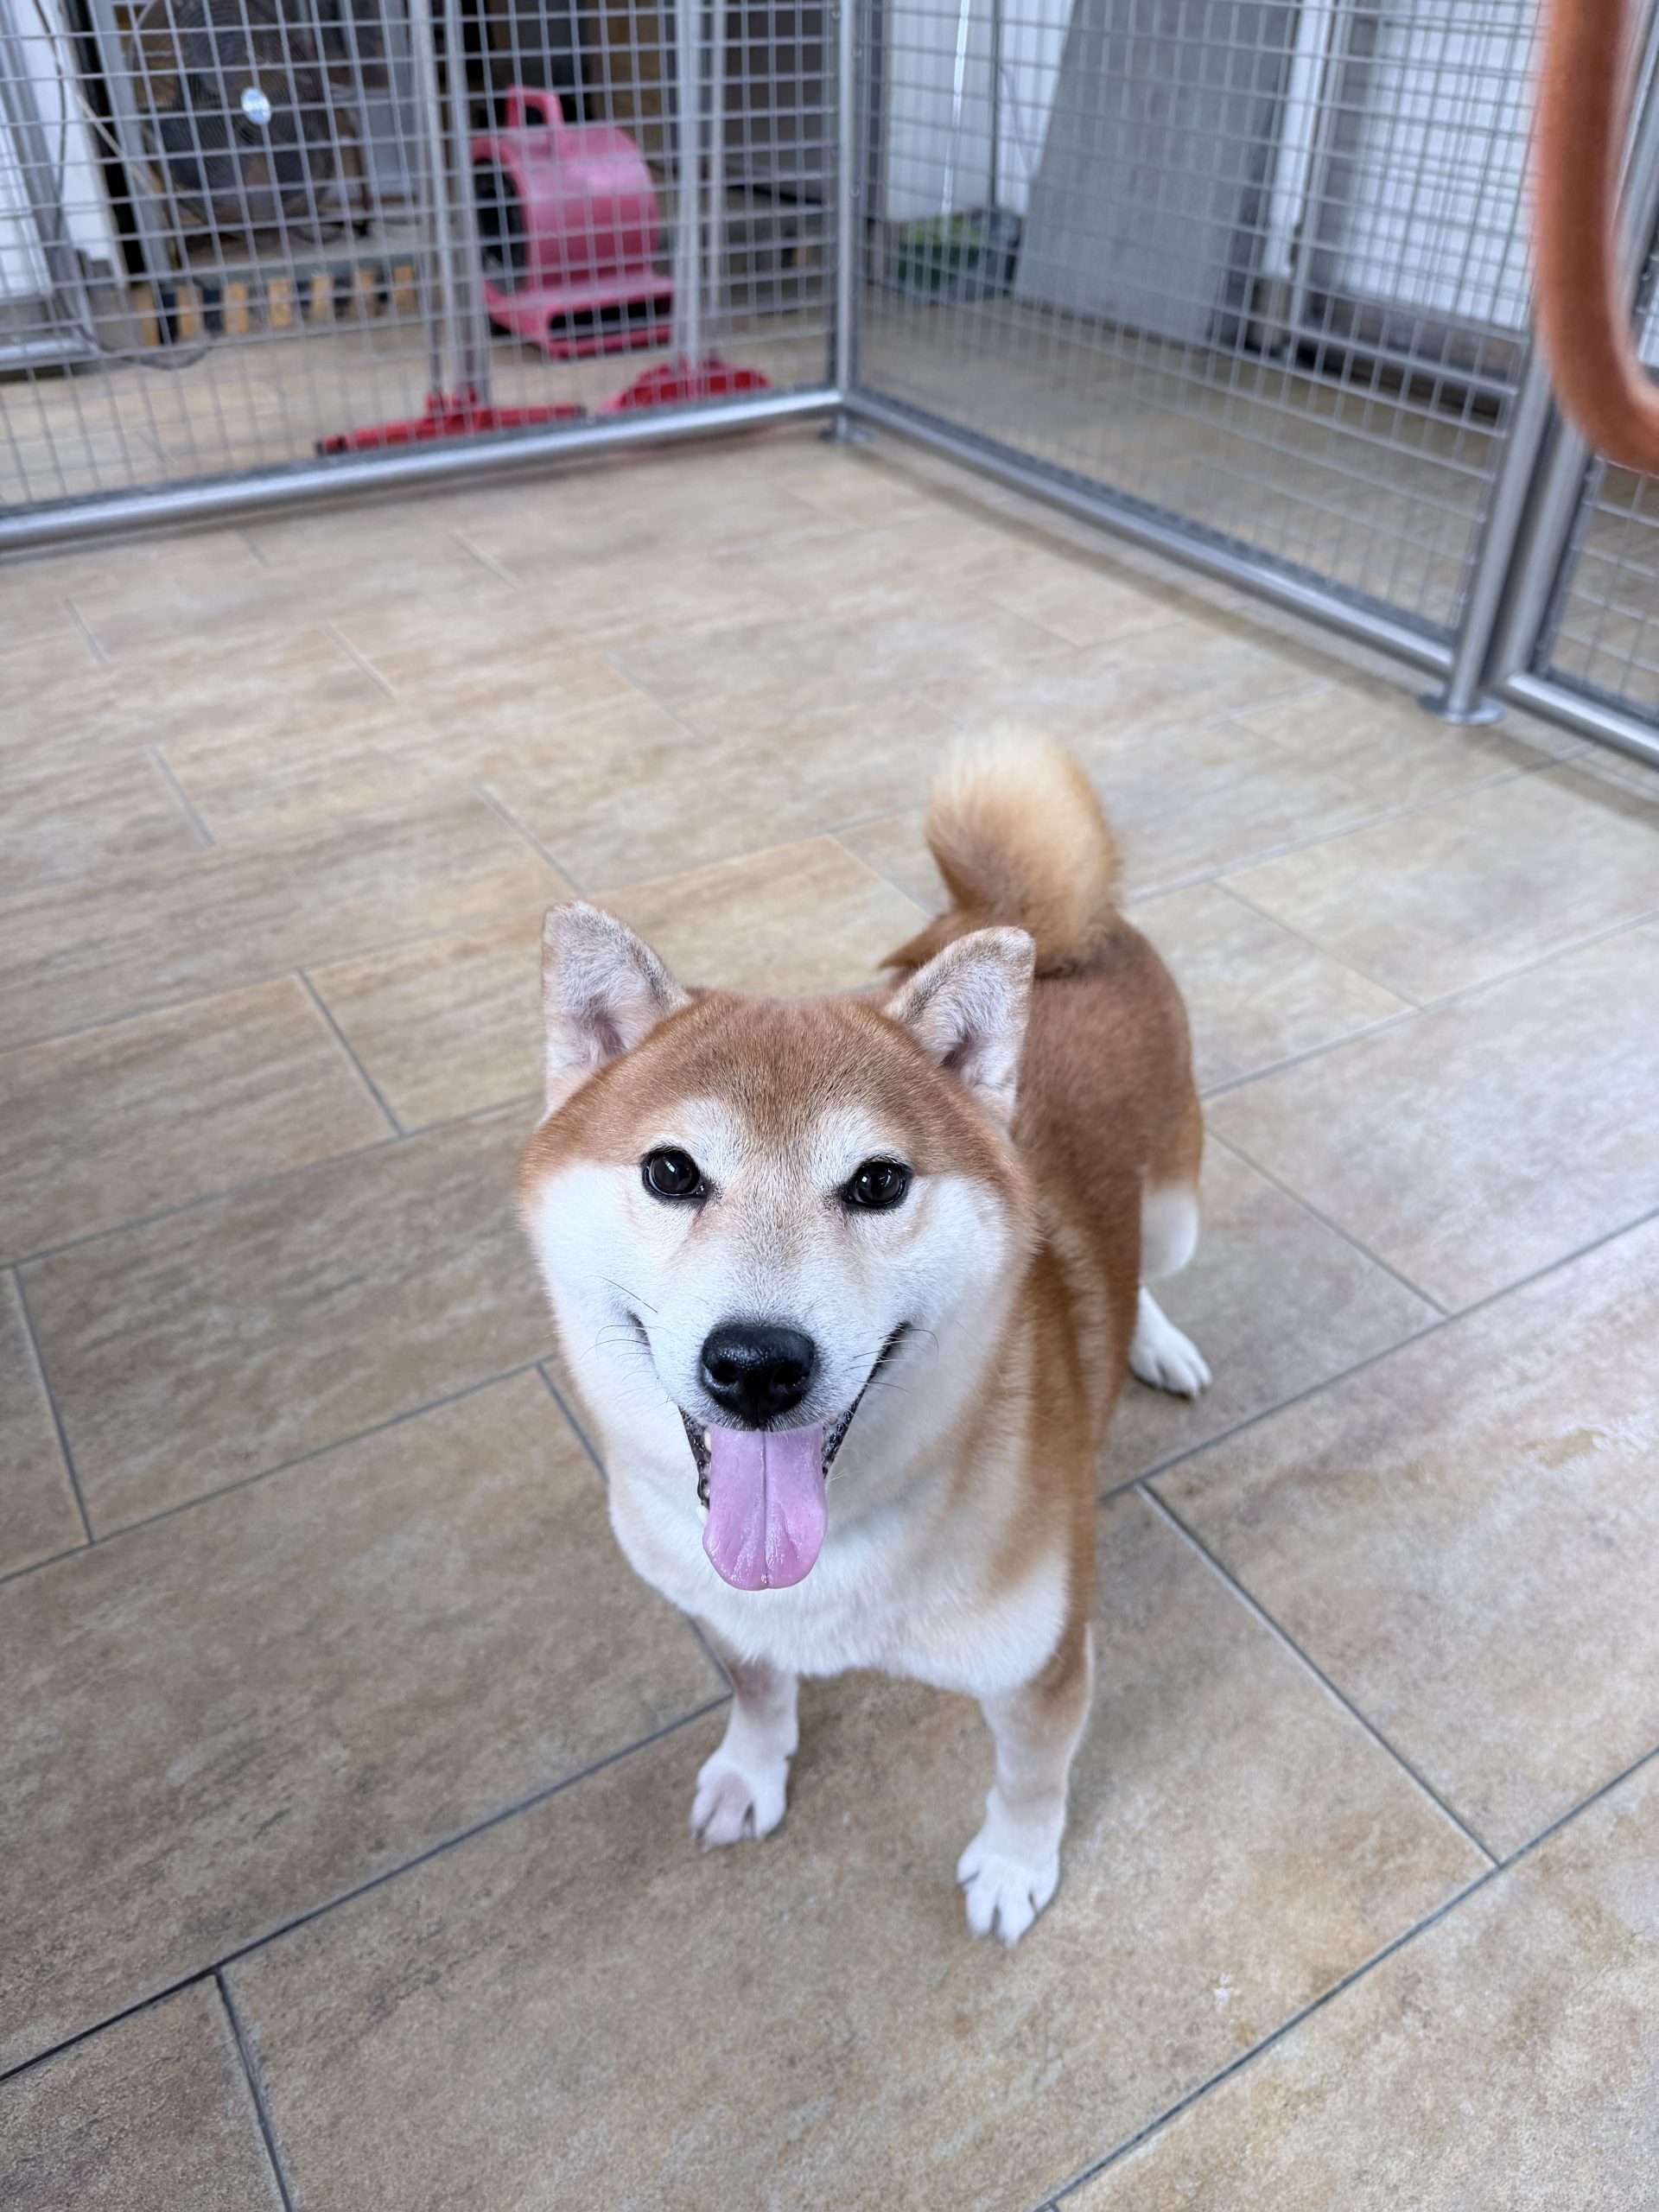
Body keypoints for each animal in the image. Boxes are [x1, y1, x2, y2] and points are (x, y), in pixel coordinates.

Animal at [519, 735, 1210, 1945]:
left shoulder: (1043, 1661)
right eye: (669, 1171)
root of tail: (1056, 922)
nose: (757, 1365)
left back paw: (1155, 1342)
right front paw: (752, 1770)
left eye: (879, 1182)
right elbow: (757, 1688)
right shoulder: (727, 1611)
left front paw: (1015, 1864)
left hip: (1174, 1210)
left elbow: (1032, 1776)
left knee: (1151, 1271)